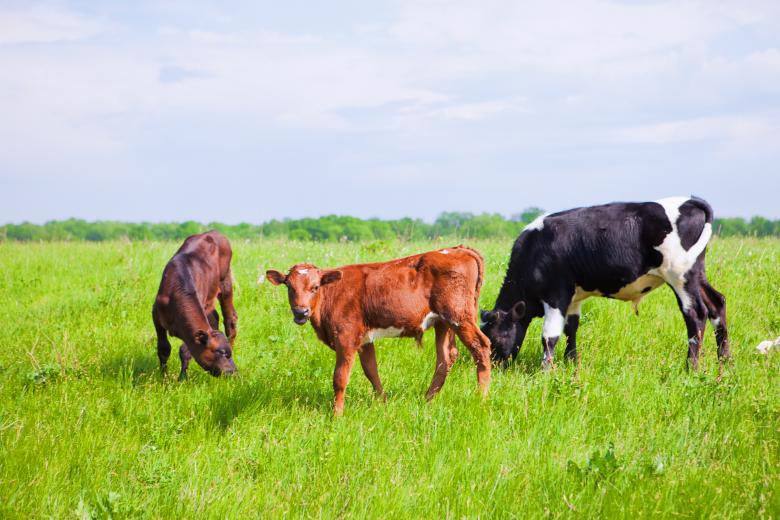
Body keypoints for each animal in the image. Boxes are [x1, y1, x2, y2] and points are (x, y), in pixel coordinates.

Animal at [152, 231, 238, 379]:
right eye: (221, 353)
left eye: (228, 354)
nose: (234, 372)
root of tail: (214, 232)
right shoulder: (156, 315)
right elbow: (163, 348)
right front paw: (164, 377)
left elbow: (185, 350)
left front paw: (182, 378)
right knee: (215, 317)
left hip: (225, 281)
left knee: (230, 320)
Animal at [266, 246, 491, 415]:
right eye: (289, 287)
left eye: (315, 287)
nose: (301, 311)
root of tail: (457, 249)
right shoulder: (365, 340)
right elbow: (371, 371)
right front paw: (383, 403)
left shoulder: (346, 337)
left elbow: (340, 378)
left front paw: (336, 414)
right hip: (443, 322)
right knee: (445, 358)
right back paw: (427, 400)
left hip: (459, 316)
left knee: (480, 347)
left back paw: (481, 398)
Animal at [480, 196, 730, 371]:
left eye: (496, 337)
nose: (493, 367)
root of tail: (689, 201)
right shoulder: (574, 297)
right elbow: (571, 328)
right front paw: (571, 364)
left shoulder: (555, 295)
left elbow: (549, 337)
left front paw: (546, 372)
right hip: (697, 273)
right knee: (717, 304)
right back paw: (726, 362)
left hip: (680, 276)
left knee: (696, 314)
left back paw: (691, 367)